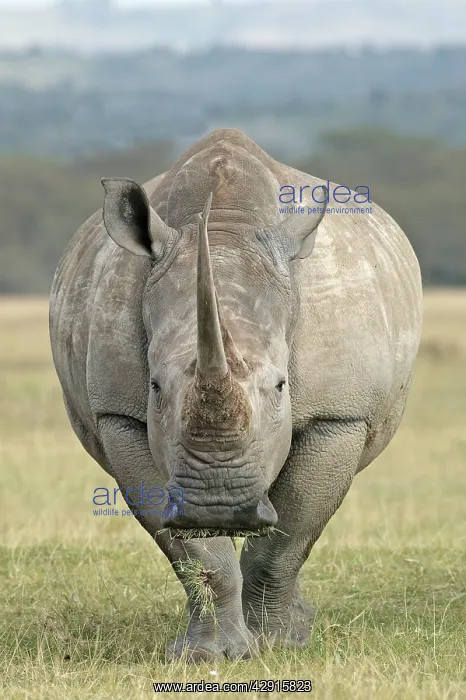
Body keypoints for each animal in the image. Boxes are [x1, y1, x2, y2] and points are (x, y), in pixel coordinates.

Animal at [49, 128, 422, 660]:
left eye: (282, 386)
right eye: (154, 386)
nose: (218, 503)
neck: (224, 228)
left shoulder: (339, 415)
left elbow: (289, 534)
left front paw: (281, 643)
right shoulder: (120, 415)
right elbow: (195, 552)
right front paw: (209, 655)